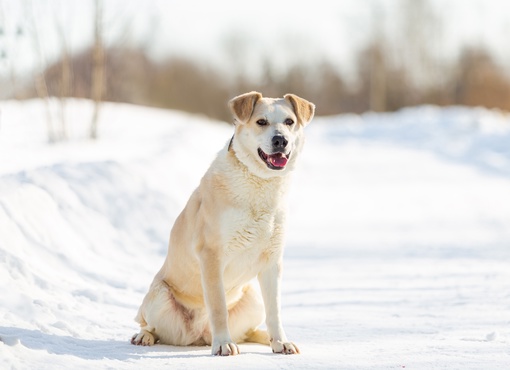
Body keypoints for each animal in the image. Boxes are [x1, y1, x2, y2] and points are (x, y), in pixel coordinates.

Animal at [131, 90, 314, 356]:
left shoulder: (272, 261)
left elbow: (275, 311)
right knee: (149, 326)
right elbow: (218, 307)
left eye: (289, 122)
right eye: (261, 122)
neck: (259, 182)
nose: (281, 140)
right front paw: (223, 344)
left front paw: (281, 342)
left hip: (253, 299)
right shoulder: (211, 255)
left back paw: (265, 338)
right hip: (159, 296)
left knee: (250, 330)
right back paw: (144, 337)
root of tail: (198, 337)